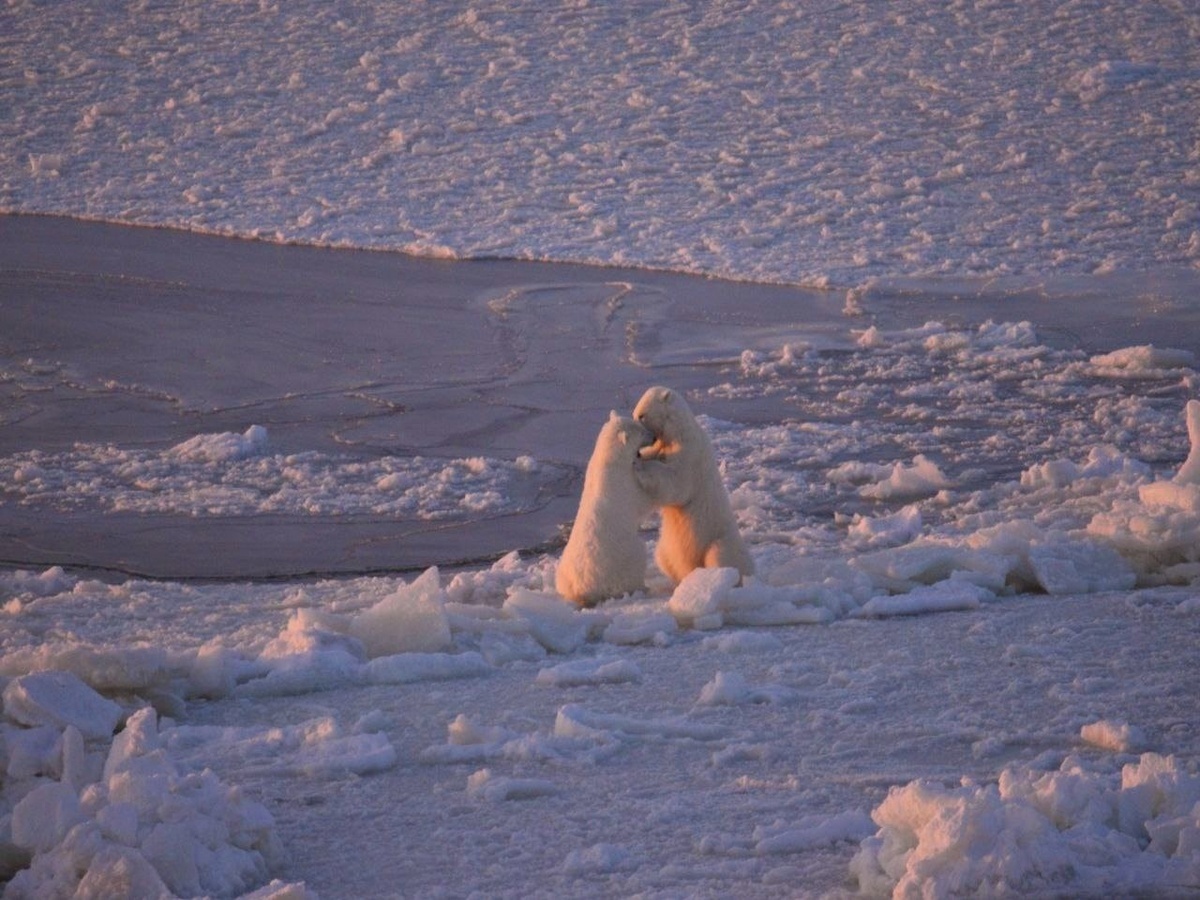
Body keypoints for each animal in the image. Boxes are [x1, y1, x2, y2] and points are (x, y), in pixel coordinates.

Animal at [554, 412, 652, 609]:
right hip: (622, 558)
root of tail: (582, 591)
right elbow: (643, 501)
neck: (607, 459)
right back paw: (642, 587)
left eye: (641, 425)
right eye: (641, 431)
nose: (653, 436)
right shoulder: (624, 482)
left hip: (563, 572)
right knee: (636, 559)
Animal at [633, 386, 753, 585]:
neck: (679, 431)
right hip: (666, 548)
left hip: (719, 539)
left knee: (720, 556)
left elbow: (678, 485)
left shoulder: (690, 452)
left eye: (641, 415)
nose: (635, 420)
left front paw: (640, 466)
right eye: (636, 414)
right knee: (663, 557)